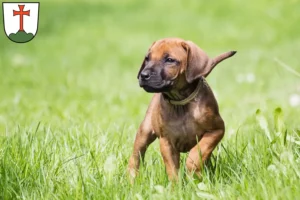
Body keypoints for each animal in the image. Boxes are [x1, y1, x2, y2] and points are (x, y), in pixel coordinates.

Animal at [127, 37, 236, 180]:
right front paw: (176, 185)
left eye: (169, 60)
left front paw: (193, 174)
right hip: (145, 131)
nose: (144, 75)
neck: (180, 103)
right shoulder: (166, 142)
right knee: (136, 156)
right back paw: (131, 178)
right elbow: (172, 170)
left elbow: (196, 154)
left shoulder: (216, 131)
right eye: (147, 58)